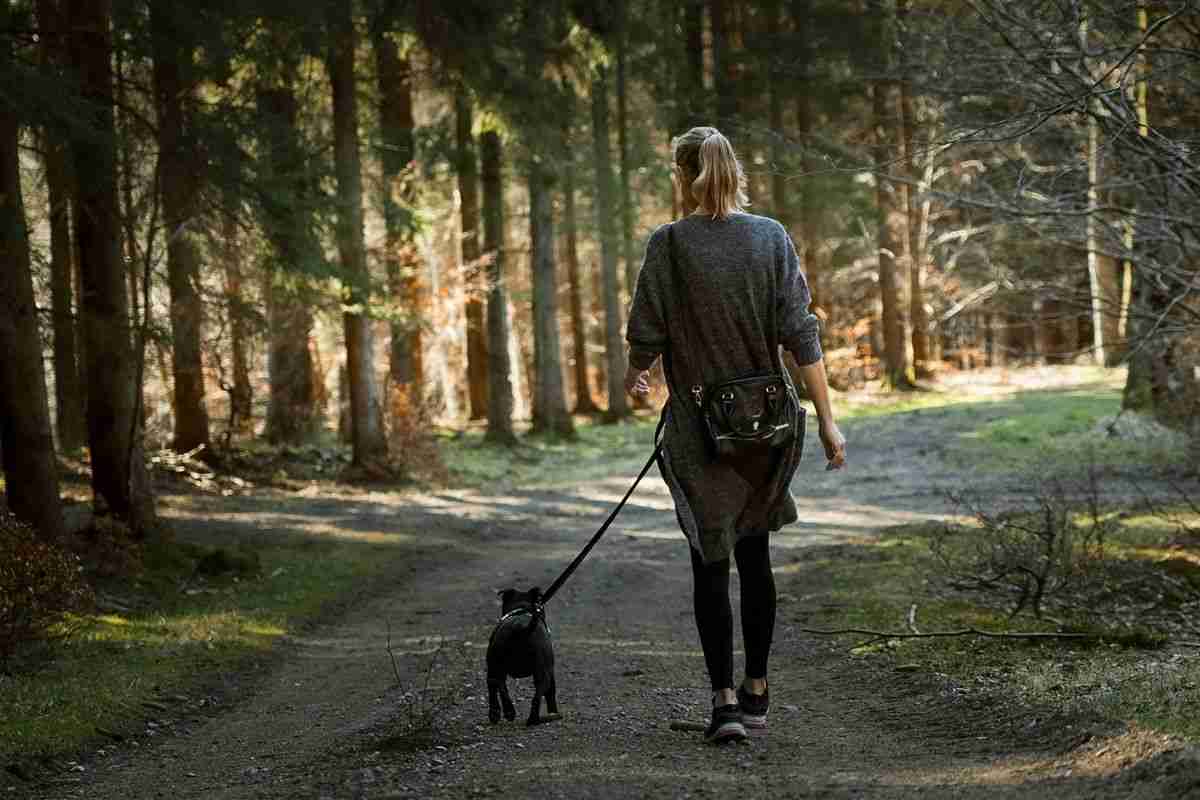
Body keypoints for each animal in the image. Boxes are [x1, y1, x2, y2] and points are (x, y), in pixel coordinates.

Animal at [487, 587, 556, 724]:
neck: (522, 609)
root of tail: (520, 628)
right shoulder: (551, 672)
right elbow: (551, 694)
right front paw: (553, 712)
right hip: (542, 672)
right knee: (537, 694)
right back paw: (532, 719)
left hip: (495, 664)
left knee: (498, 684)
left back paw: (508, 712)